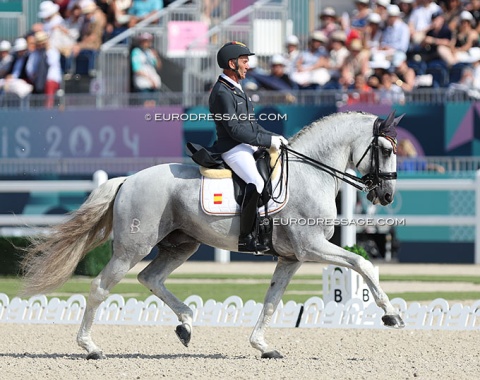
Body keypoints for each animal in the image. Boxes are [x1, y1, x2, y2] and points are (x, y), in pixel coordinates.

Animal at [22, 110, 404, 360]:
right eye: (385, 150)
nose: (386, 196)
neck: (310, 174)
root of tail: (128, 179)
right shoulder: (312, 248)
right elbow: (363, 265)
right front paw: (391, 315)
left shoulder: (291, 258)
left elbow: (271, 300)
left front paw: (262, 346)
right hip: (132, 248)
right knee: (101, 287)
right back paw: (90, 347)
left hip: (181, 245)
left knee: (150, 278)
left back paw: (186, 325)